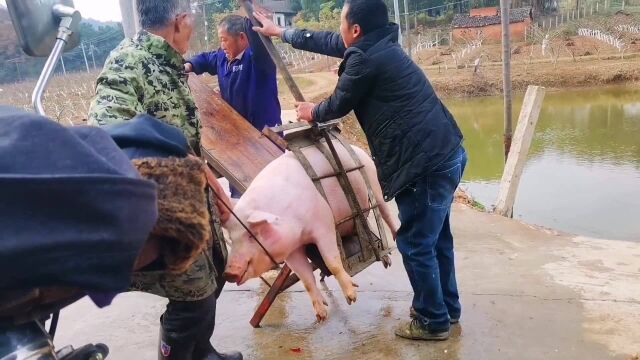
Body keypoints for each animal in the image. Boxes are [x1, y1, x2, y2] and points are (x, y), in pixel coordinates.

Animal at [222, 140, 398, 320]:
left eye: (251, 235)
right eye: (231, 239)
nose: (228, 273)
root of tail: (357, 149)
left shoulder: (324, 223)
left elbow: (332, 262)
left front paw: (352, 298)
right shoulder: (291, 250)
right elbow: (306, 279)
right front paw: (321, 316)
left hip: (373, 181)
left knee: (384, 213)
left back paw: (395, 237)